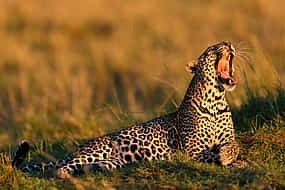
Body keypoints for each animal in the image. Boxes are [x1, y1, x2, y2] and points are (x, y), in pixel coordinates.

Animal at [12, 40, 239, 178]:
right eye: (211, 49)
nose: (228, 43)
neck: (215, 100)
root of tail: (76, 149)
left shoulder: (228, 137)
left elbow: (234, 146)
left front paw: (228, 155)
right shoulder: (192, 149)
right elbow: (206, 155)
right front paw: (222, 158)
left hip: (114, 160)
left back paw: (95, 169)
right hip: (97, 150)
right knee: (59, 168)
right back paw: (66, 174)